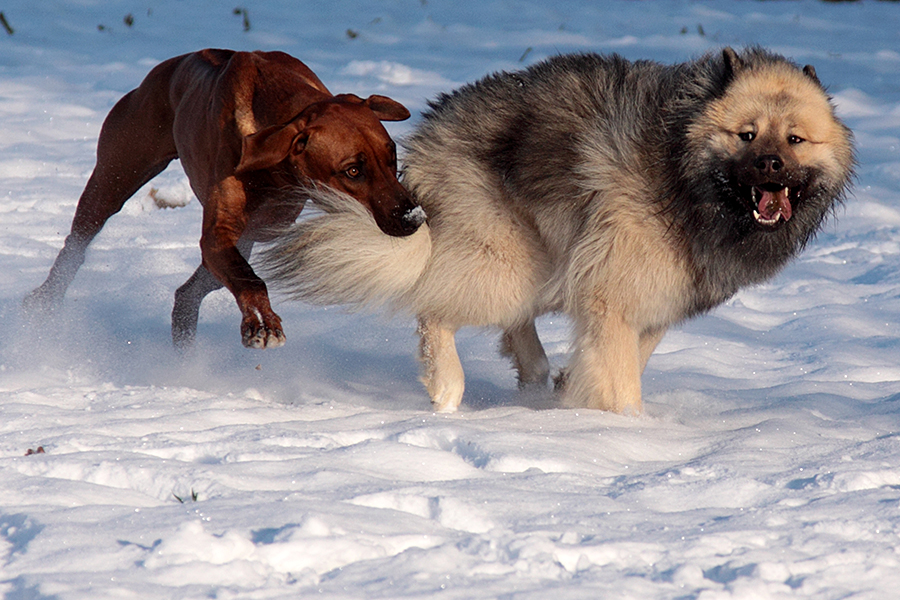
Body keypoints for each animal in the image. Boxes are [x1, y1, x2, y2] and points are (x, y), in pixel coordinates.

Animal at [22, 50, 424, 352]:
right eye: (352, 170)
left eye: (392, 157)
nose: (414, 218)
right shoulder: (218, 235)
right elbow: (250, 281)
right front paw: (261, 323)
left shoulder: (250, 233)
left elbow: (241, 271)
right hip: (114, 175)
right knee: (78, 241)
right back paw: (46, 299)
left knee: (187, 293)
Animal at [264, 48, 856, 412]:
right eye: (746, 135)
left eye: (795, 140)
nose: (771, 166)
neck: (681, 172)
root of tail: (431, 127)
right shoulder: (613, 294)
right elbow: (621, 378)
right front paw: (628, 432)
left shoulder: (649, 299)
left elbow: (628, 357)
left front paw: (578, 396)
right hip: (506, 260)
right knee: (436, 308)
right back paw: (448, 388)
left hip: (543, 257)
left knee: (513, 326)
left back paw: (536, 380)